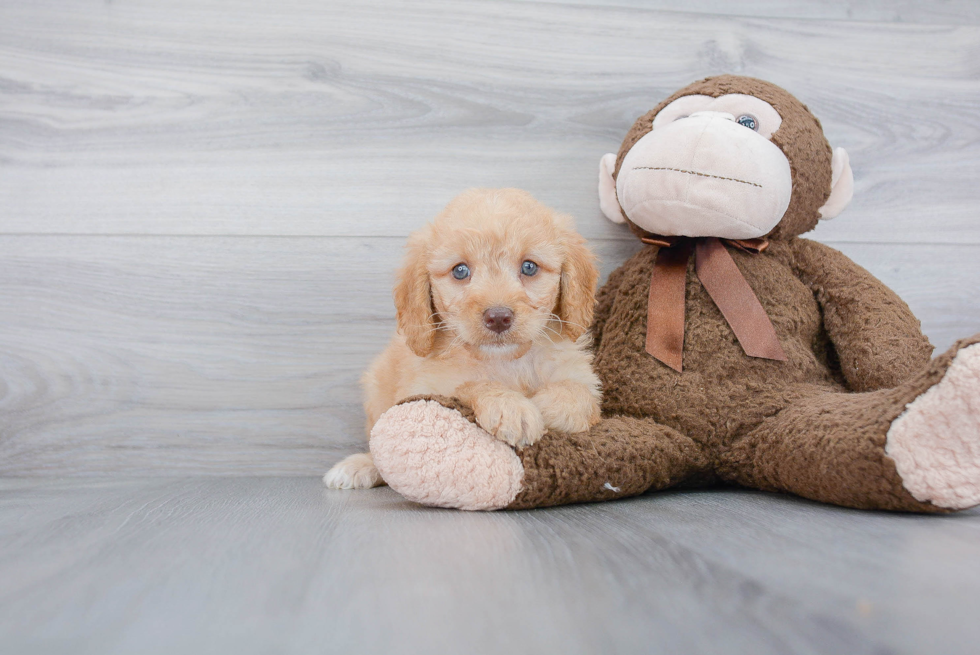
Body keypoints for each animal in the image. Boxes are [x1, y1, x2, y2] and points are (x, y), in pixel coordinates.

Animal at [326, 187, 600, 490]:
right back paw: (357, 466)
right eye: (460, 271)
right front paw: (510, 406)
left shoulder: (582, 378)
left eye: (529, 267)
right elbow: (470, 386)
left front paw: (548, 405)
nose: (498, 317)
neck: (506, 361)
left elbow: (580, 394)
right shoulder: (426, 389)